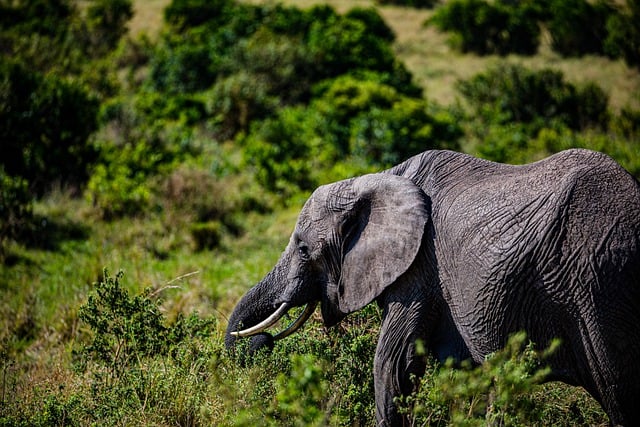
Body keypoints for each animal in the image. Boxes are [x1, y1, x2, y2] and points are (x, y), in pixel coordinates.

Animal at [225, 149, 640, 426]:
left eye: (303, 248)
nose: (261, 342)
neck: (378, 178)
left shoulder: (420, 268)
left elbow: (392, 363)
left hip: (597, 283)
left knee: (619, 388)